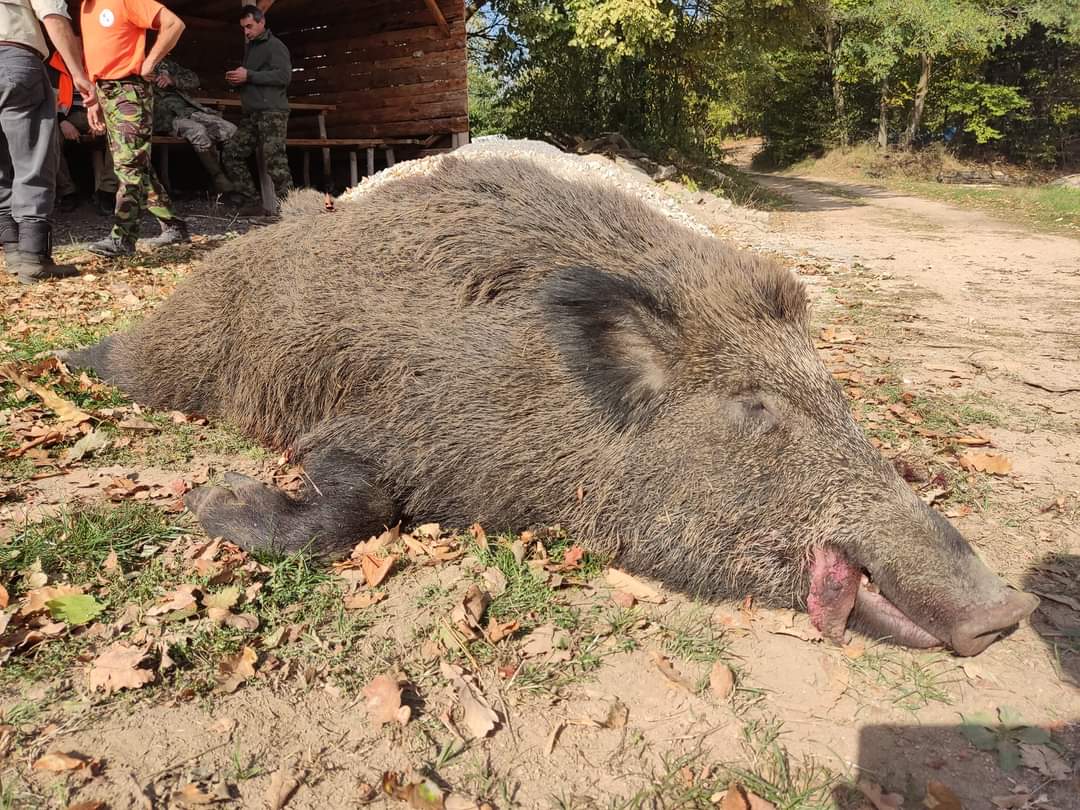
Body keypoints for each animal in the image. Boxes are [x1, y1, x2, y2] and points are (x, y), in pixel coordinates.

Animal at [66, 149, 1038, 656]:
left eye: (833, 395)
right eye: (755, 406)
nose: (1008, 610)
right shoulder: (385, 430)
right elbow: (353, 508)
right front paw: (209, 503)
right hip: (177, 355)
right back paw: (71, 359)